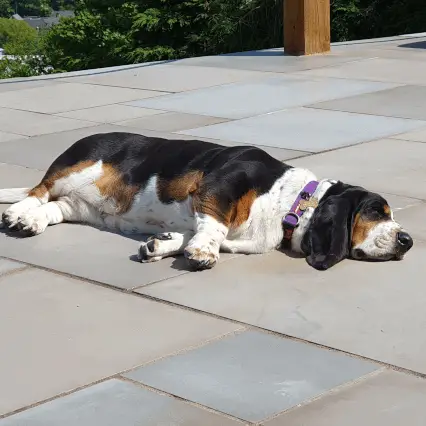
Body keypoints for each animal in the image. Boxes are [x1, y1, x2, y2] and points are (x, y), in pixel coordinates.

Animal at [0, 132, 412, 270]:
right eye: (375, 211)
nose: (407, 240)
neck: (291, 204)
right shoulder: (220, 186)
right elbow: (214, 226)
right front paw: (202, 253)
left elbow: (193, 232)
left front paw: (160, 246)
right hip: (78, 167)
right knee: (38, 191)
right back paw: (17, 213)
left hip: (83, 206)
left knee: (54, 208)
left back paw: (31, 222)